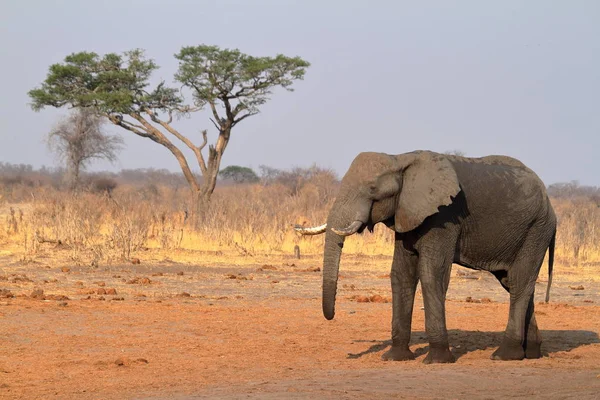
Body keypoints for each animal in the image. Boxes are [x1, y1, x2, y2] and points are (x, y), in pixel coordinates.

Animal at [296, 150, 556, 362]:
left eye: (372, 189)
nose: (331, 318)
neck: (400, 158)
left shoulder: (444, 216)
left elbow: (432, 274)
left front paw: (438, 359)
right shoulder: (407, 214)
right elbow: (401, 275)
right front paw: (395, 358)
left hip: (536, 229)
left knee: (520, 281)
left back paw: (504, 355)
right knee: (513, 282)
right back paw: (531, 354)